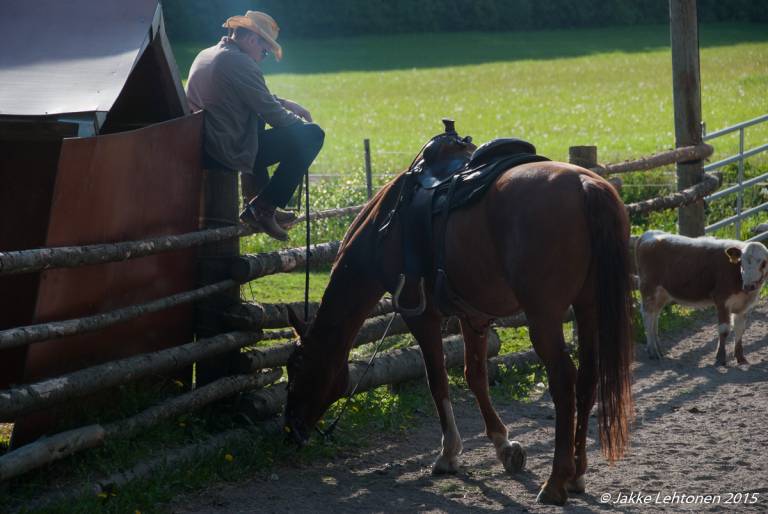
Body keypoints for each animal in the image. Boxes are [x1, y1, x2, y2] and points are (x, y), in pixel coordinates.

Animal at [284, 126, 632, 502]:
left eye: (297, 366)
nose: (290, 429)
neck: (386, 226)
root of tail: (585, 185)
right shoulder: (473, 316)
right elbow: (475, 375)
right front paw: (504, 446)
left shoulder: (421, 316)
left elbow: (437, 379)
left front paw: (448, 454)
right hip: (588, 307)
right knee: (587, 378)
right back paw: (577, 475)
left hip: (544, 317)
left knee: (564, 381)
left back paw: (555, 482)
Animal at [636, 228, 768, 364]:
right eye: (741, 263)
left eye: (764, 263)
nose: (749, 286)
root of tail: (648, 234)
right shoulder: (722, 300)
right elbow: (724, 330)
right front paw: (720, 357)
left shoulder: (744, 306)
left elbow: (740, 330)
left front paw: (740, 357)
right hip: (649, 289)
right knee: (647, 317)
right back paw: (652, 351)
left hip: (662, 294)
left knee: (655, 316)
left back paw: (658, 348)